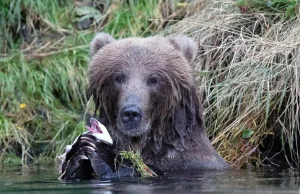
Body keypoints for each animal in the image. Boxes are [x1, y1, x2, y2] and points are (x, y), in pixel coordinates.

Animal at [60, 32, 230, 180]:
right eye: (118, 77)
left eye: (153, 79)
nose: (131, 113)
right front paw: (76, 157)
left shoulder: (190, 162)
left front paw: (101, 152)